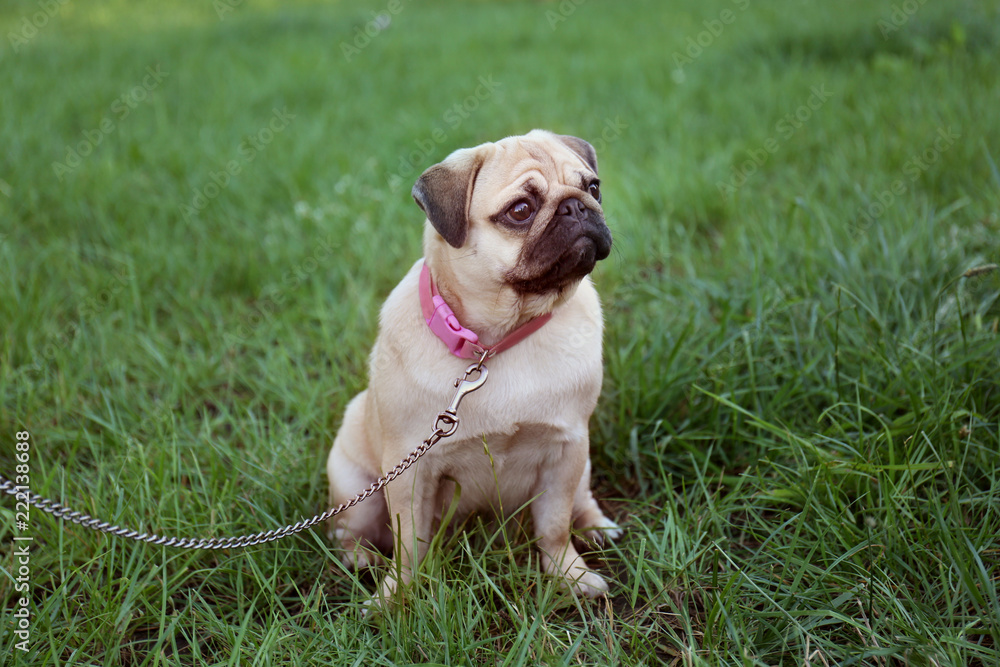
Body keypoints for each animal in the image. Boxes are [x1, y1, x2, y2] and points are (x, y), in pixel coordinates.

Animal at [328, 128, 620, 604]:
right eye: (520, 210)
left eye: (593, 187)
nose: (577, 206)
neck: (497, 343)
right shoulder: (410, 473)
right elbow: (409, 545)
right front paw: (397, 598)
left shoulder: (567, 451)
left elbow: (555, 526)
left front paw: (569, 575)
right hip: (355, 485)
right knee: (349, 531)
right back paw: (361, 559)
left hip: (583, 466)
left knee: (581, 501)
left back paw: (596, 527)